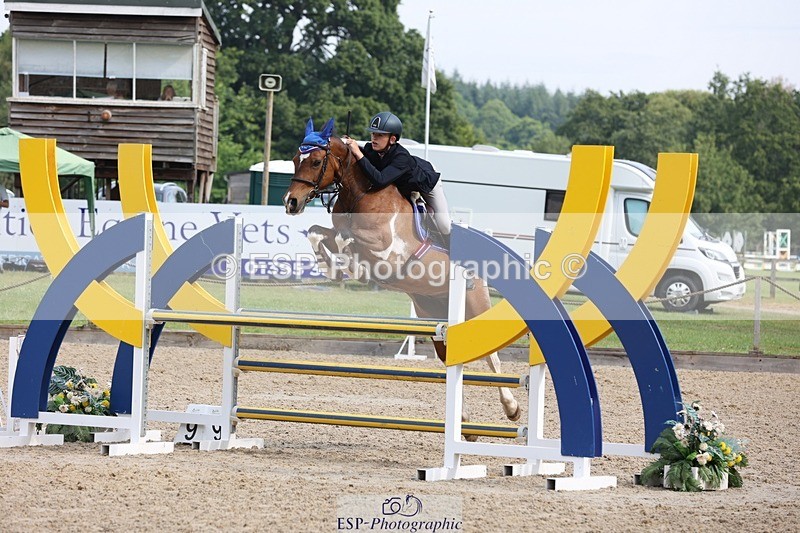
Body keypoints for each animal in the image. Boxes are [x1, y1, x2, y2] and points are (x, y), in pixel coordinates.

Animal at [282, 118, 520, 423]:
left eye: (314, 161)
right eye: (294, 160)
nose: (291, 202)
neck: (361, 193)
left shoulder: (388, 251)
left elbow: (347, 240)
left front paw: (351, 267)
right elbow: (319, 233)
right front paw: (333, 267)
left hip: (475, 306)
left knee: (492, 355)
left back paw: (511, 407)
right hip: (433, 316)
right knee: (451, 357)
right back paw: (462, 416)